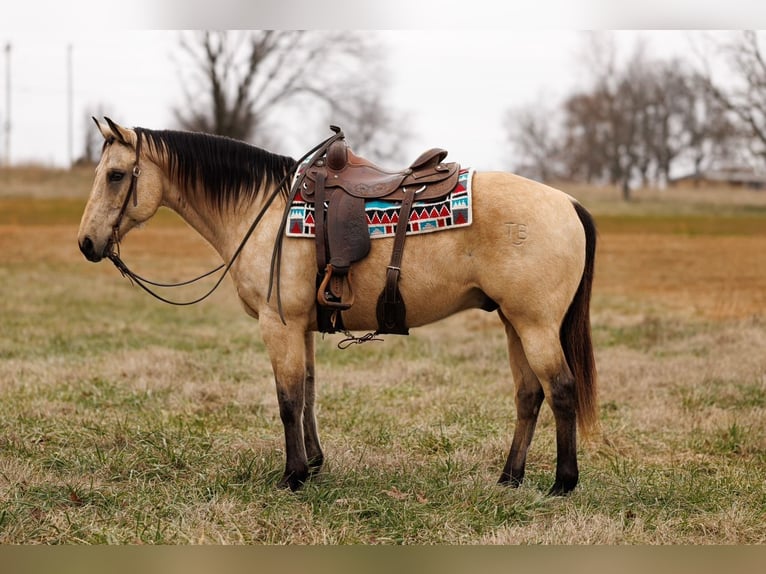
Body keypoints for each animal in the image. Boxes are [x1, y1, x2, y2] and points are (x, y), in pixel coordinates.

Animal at [78, 117, 596, 496]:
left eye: (116, 175)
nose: (86, 243)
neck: (265, 213)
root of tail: (568, 203)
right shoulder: (301, 326)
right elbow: (308, 392)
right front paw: (313, 464)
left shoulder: (279, 325)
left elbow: (287, 399)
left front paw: (292, 476)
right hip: (514, 322)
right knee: (529, 395)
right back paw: (510, 477)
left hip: (535, 325)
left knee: (561, 390)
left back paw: (562, 483)